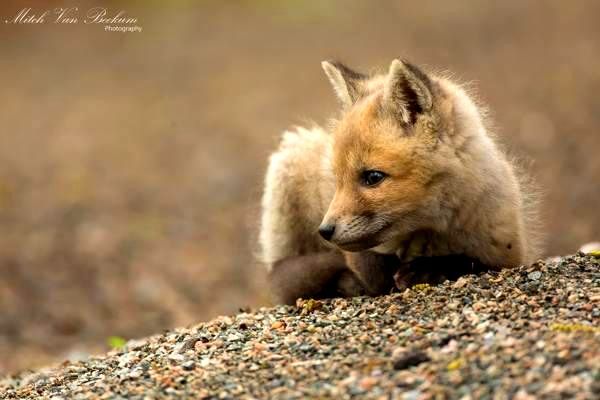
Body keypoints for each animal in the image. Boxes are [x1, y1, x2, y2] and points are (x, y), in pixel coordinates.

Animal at [260, 58, 540, 304]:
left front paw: (430, 269)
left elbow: (470, 262)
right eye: (337, 179)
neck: (428, 234)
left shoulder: (508, 252)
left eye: (373, 177)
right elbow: (367, 269)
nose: (325, 231)